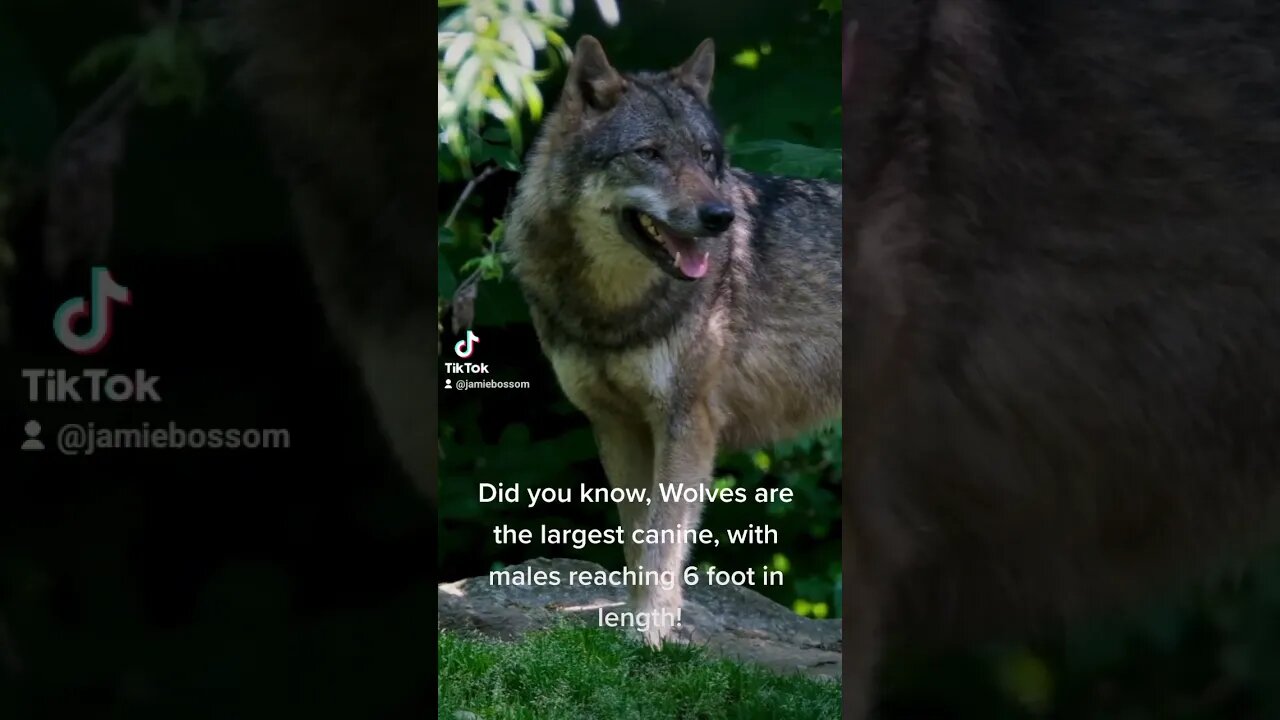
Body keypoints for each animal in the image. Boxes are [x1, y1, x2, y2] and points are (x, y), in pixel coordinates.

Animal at [504, 36, 842, 647]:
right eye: (651, 153)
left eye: (707, 156)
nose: (720, 216)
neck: (614, 311)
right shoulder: (615, 424)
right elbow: (639, 543)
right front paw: (635, 631)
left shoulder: (687, 422)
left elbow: (663, 541)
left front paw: (650, 636)